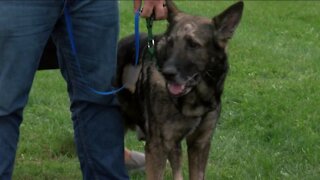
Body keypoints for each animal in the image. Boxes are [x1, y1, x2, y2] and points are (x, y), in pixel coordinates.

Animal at [116, 0, 244, 179]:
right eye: (170, 43)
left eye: (193, 44)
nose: (167, 73)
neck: (195, 100)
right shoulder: (157, 147)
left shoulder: (199, 144)